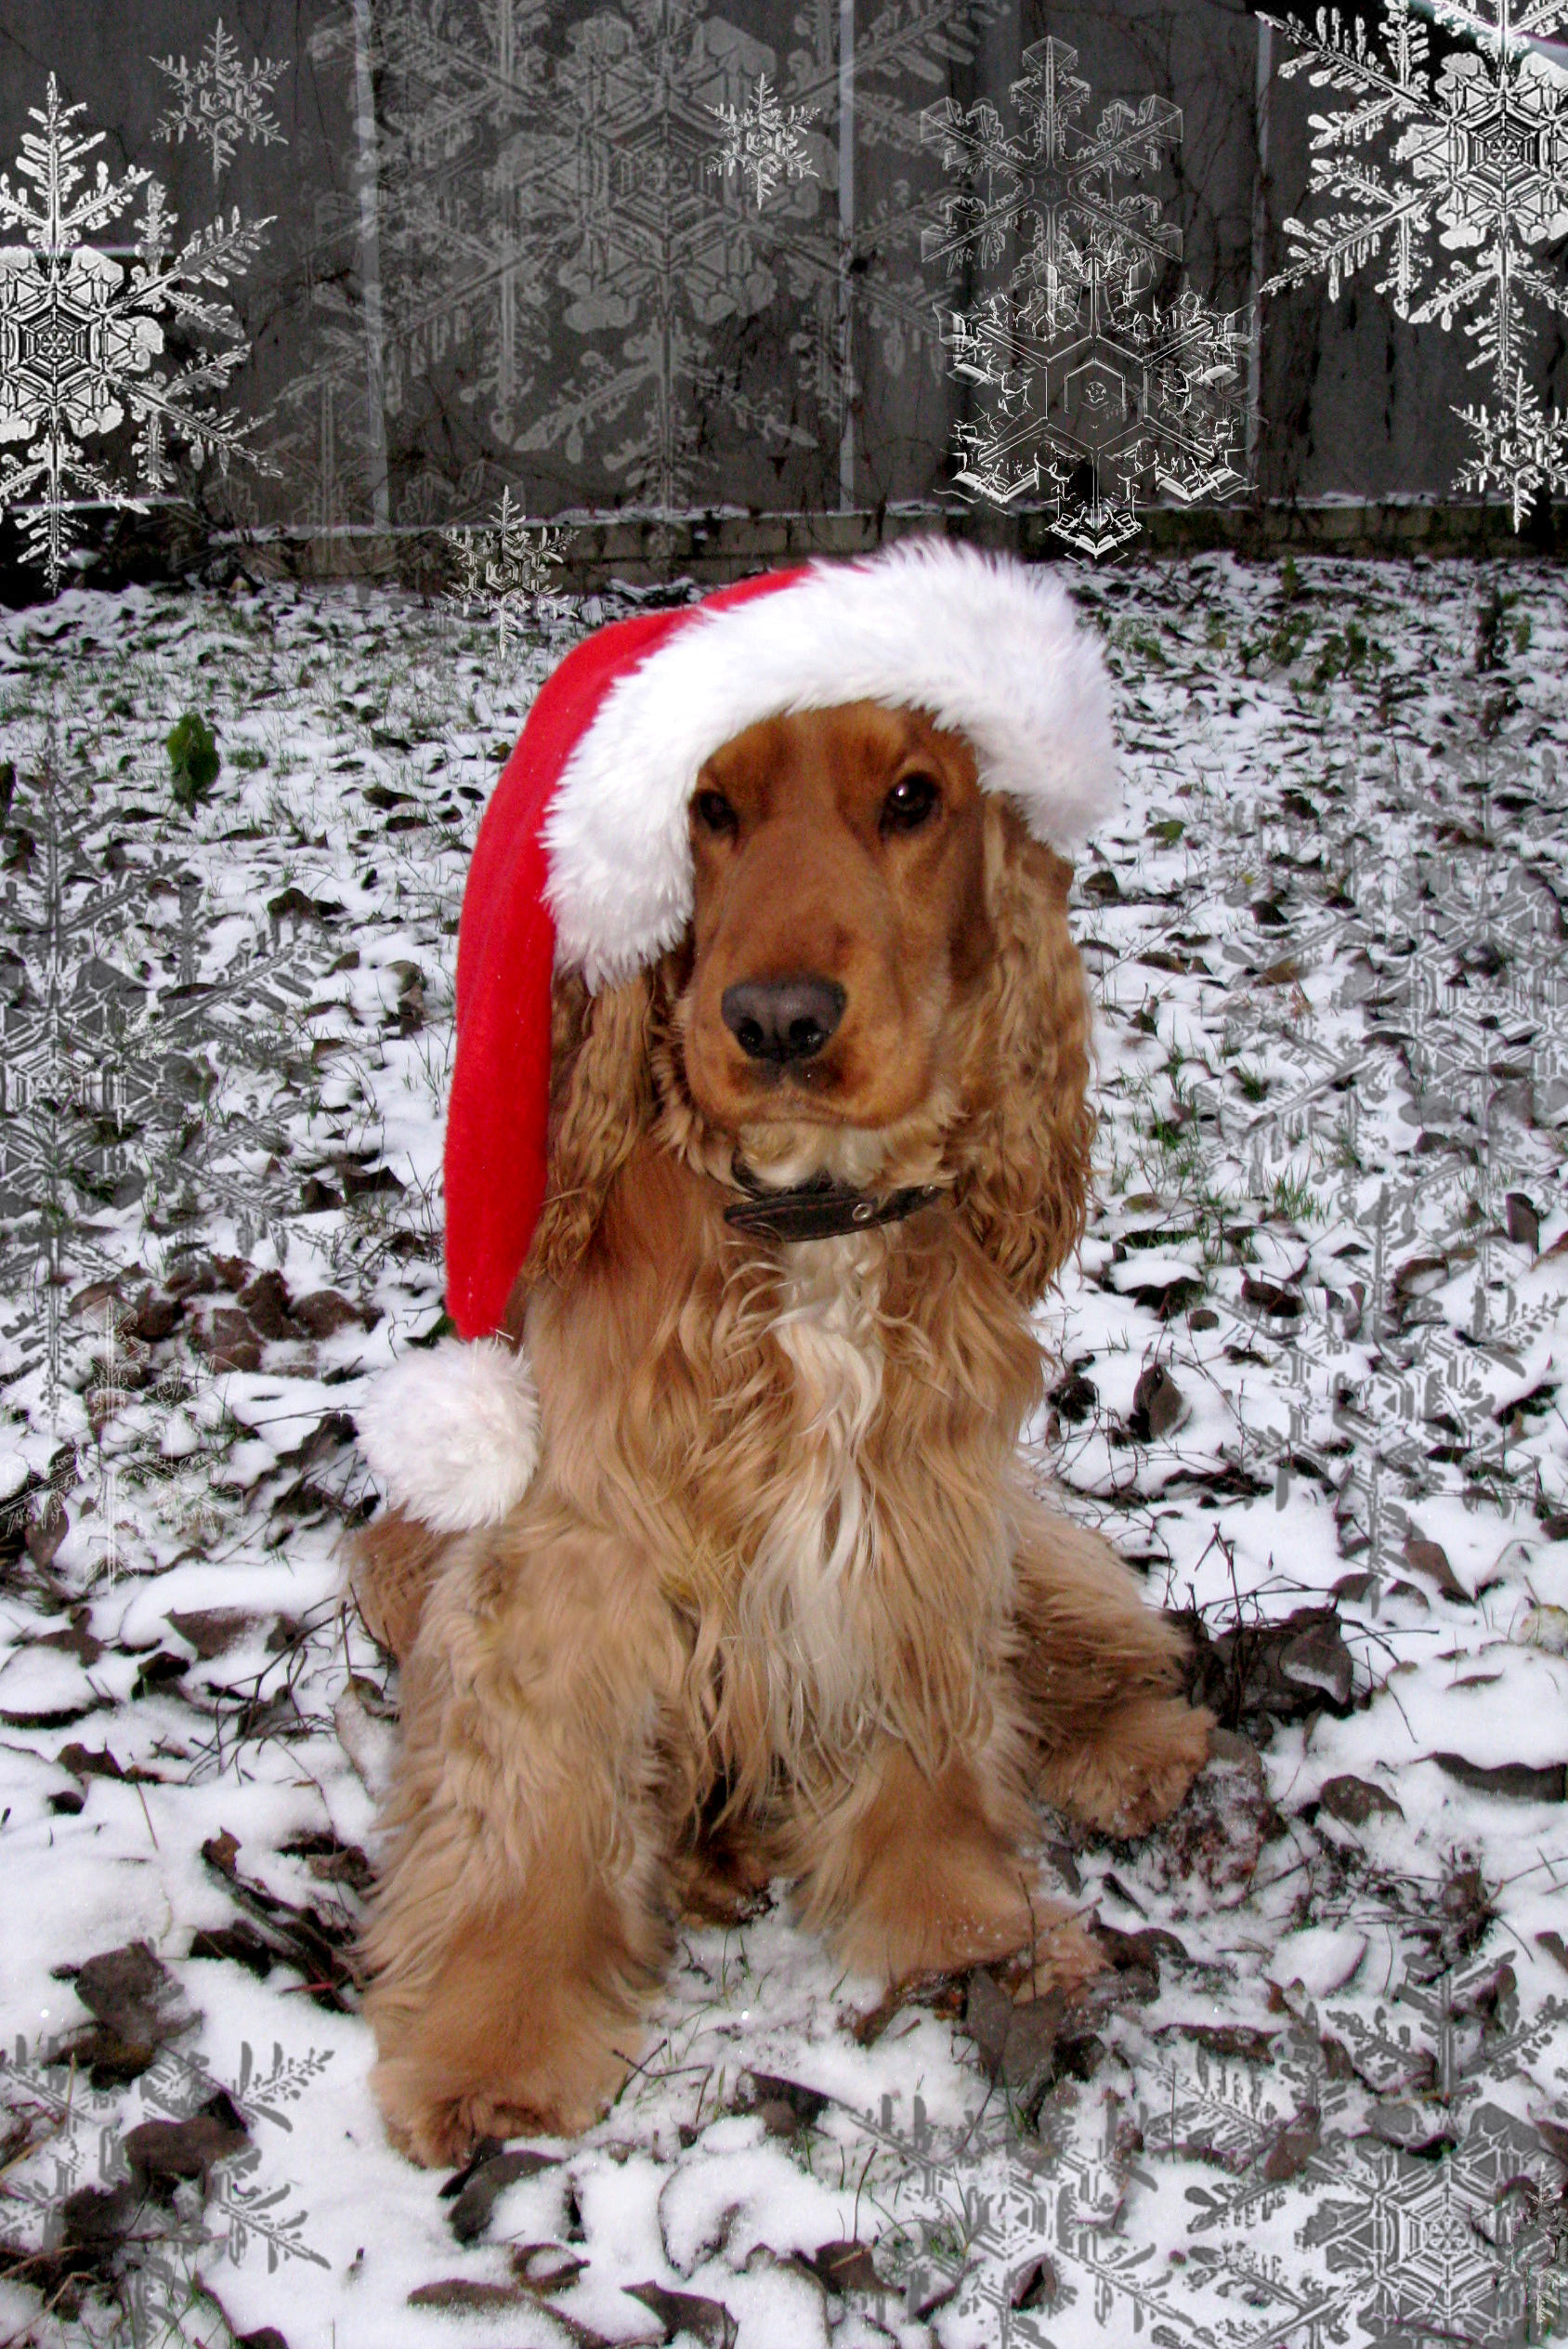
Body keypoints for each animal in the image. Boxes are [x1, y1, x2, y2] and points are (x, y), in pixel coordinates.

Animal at [352, 672, 1210, 2151]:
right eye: (707, 806)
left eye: (913, 797)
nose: (778, 1023)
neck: (807, 1224)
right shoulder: (576, 1555)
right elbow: (535, 1804)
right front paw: (491, 2048)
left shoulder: (918, 1503)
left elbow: (933, 1735)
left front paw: (962, 1925)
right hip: (407, 1550)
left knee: (1079, 1628)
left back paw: (1135, 1746)